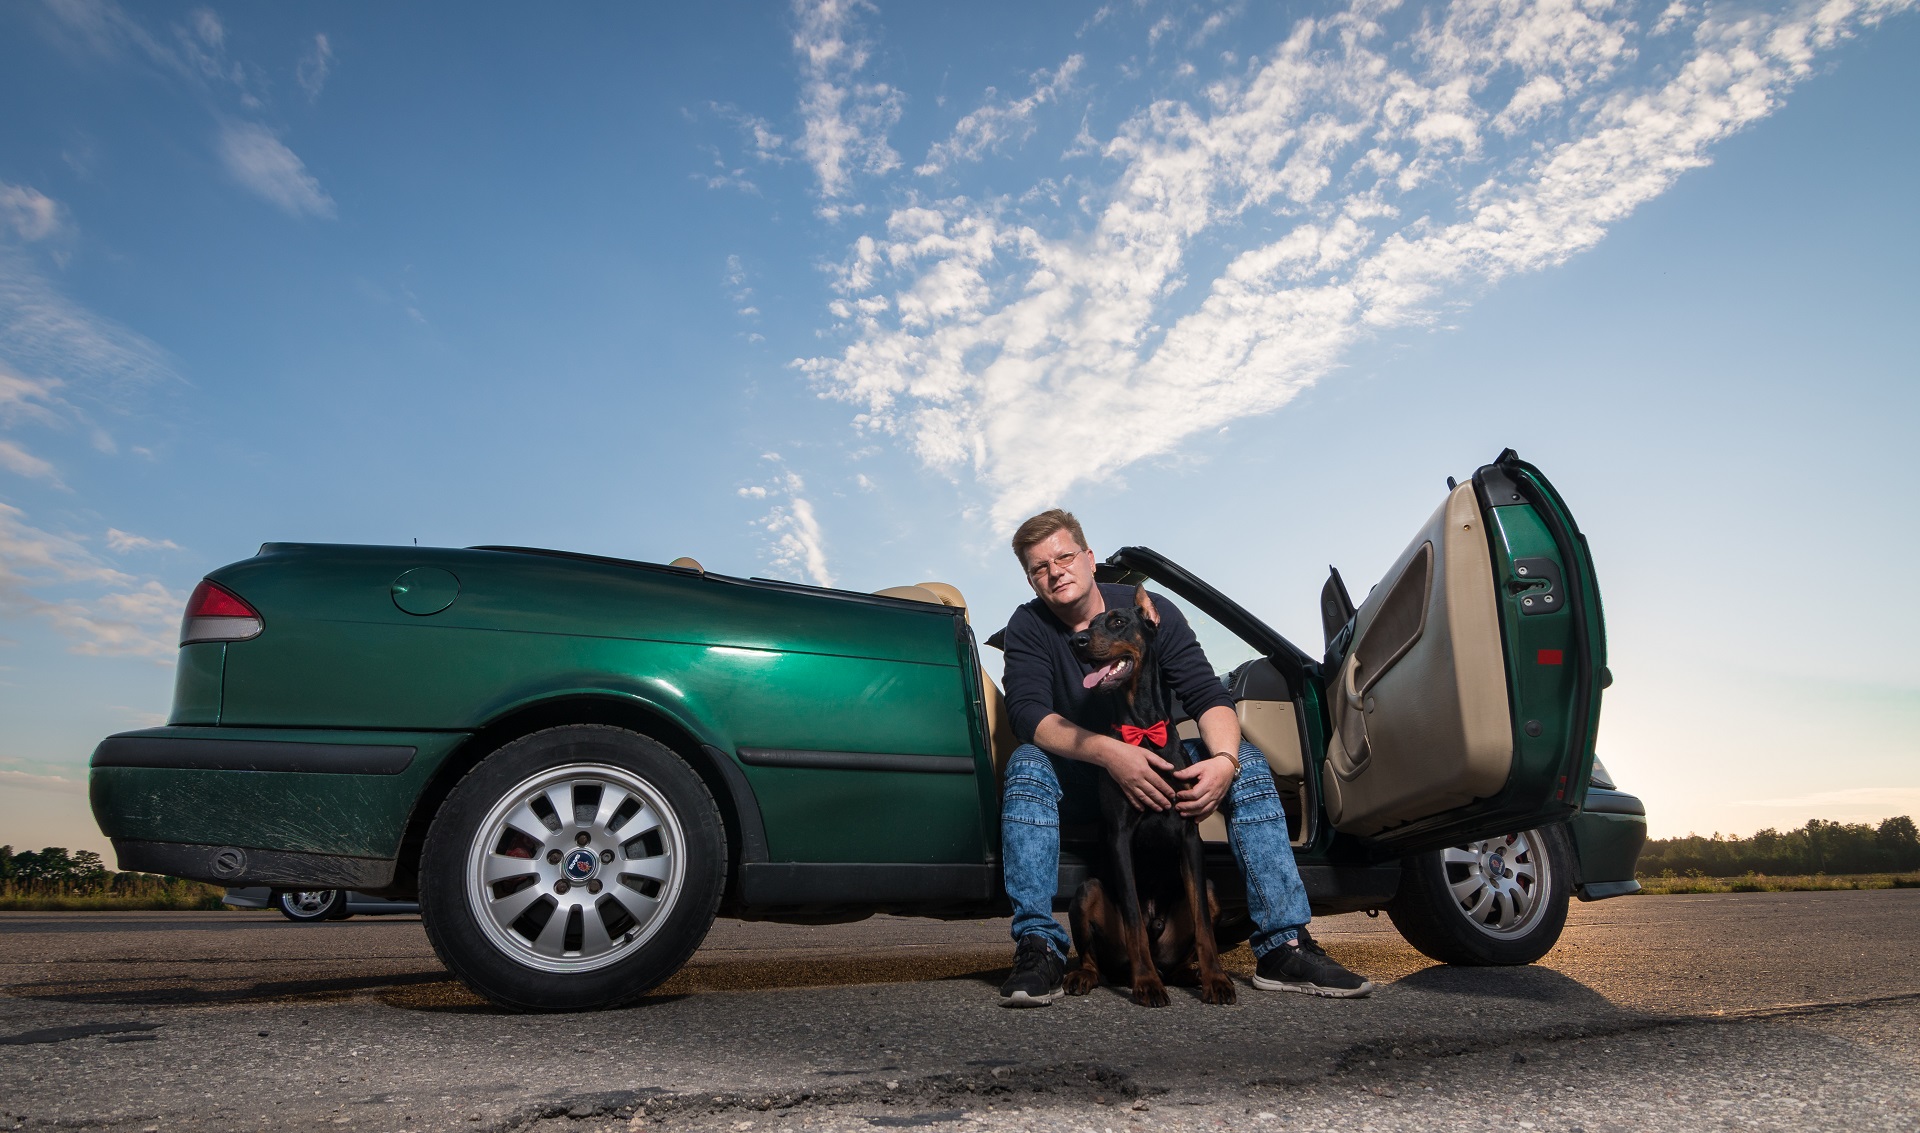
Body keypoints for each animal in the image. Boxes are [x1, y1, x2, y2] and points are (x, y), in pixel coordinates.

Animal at [1059, 591, 1236, 1006]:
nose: (1076, 642)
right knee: (1095, 955)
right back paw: (1090, 975)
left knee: (1188, 938)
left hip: (1207, 893)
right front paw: (1146, 983)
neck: (1142, 728)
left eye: (1118, 622)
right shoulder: (1120, 836)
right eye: (1088, 625)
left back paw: (1189, 973)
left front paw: (1216, 979)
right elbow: (1134, 920)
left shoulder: (1189, 837)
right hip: (1087, 893)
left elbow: (1204, 928)